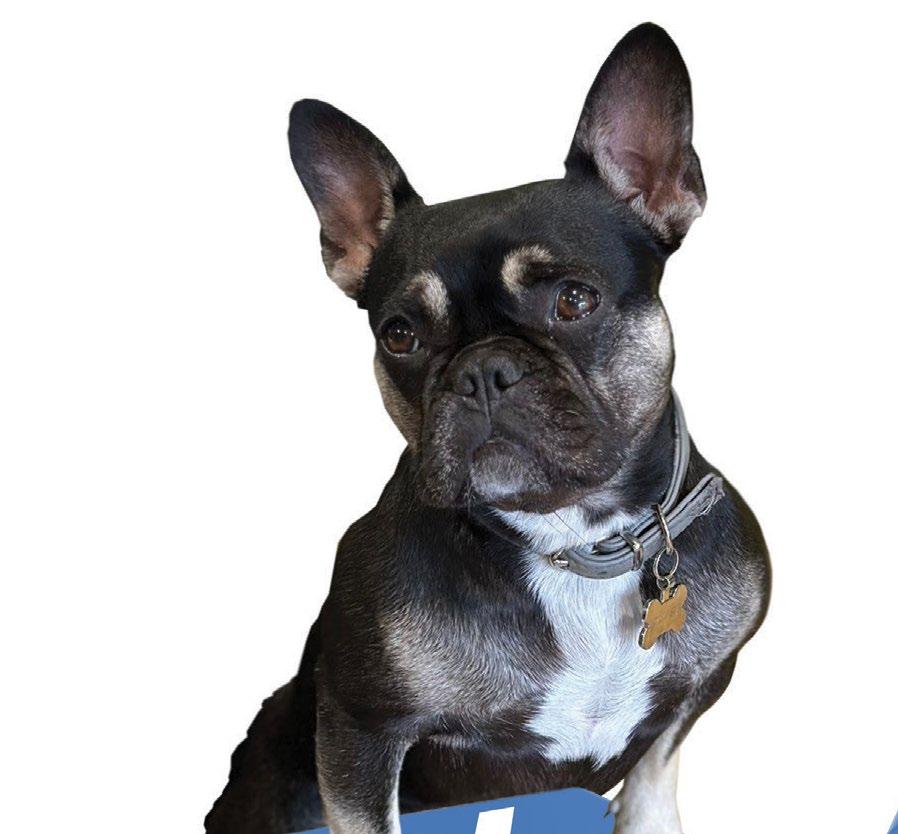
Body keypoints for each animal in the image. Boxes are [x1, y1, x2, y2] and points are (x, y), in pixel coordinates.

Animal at [205, 22, 771, 834]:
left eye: (574, 300)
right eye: (399, 335)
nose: (481, 372)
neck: (569, 541)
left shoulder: (692, 697)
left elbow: (652, 784)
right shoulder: (358, 735)